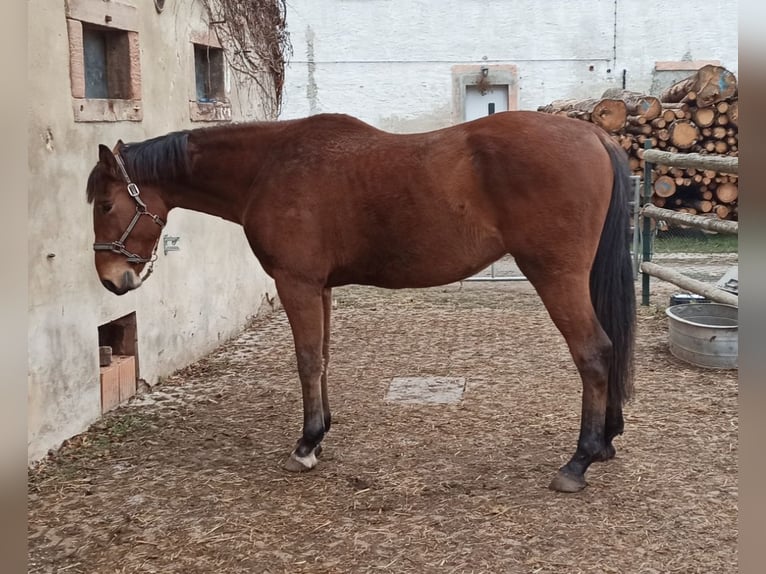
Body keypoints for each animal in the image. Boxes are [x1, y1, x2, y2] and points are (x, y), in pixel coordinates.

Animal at [85, 112, 636, 496]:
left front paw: (306, 444)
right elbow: (323, 358)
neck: (269, 165)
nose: (112, 280)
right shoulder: (321, 287)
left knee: (593, 352)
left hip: (556, 276)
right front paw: (321, 432)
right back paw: (607, 441)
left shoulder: (297, 283)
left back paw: (579, 461)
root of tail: (595, 136)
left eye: (107, 204)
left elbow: (307, 360)